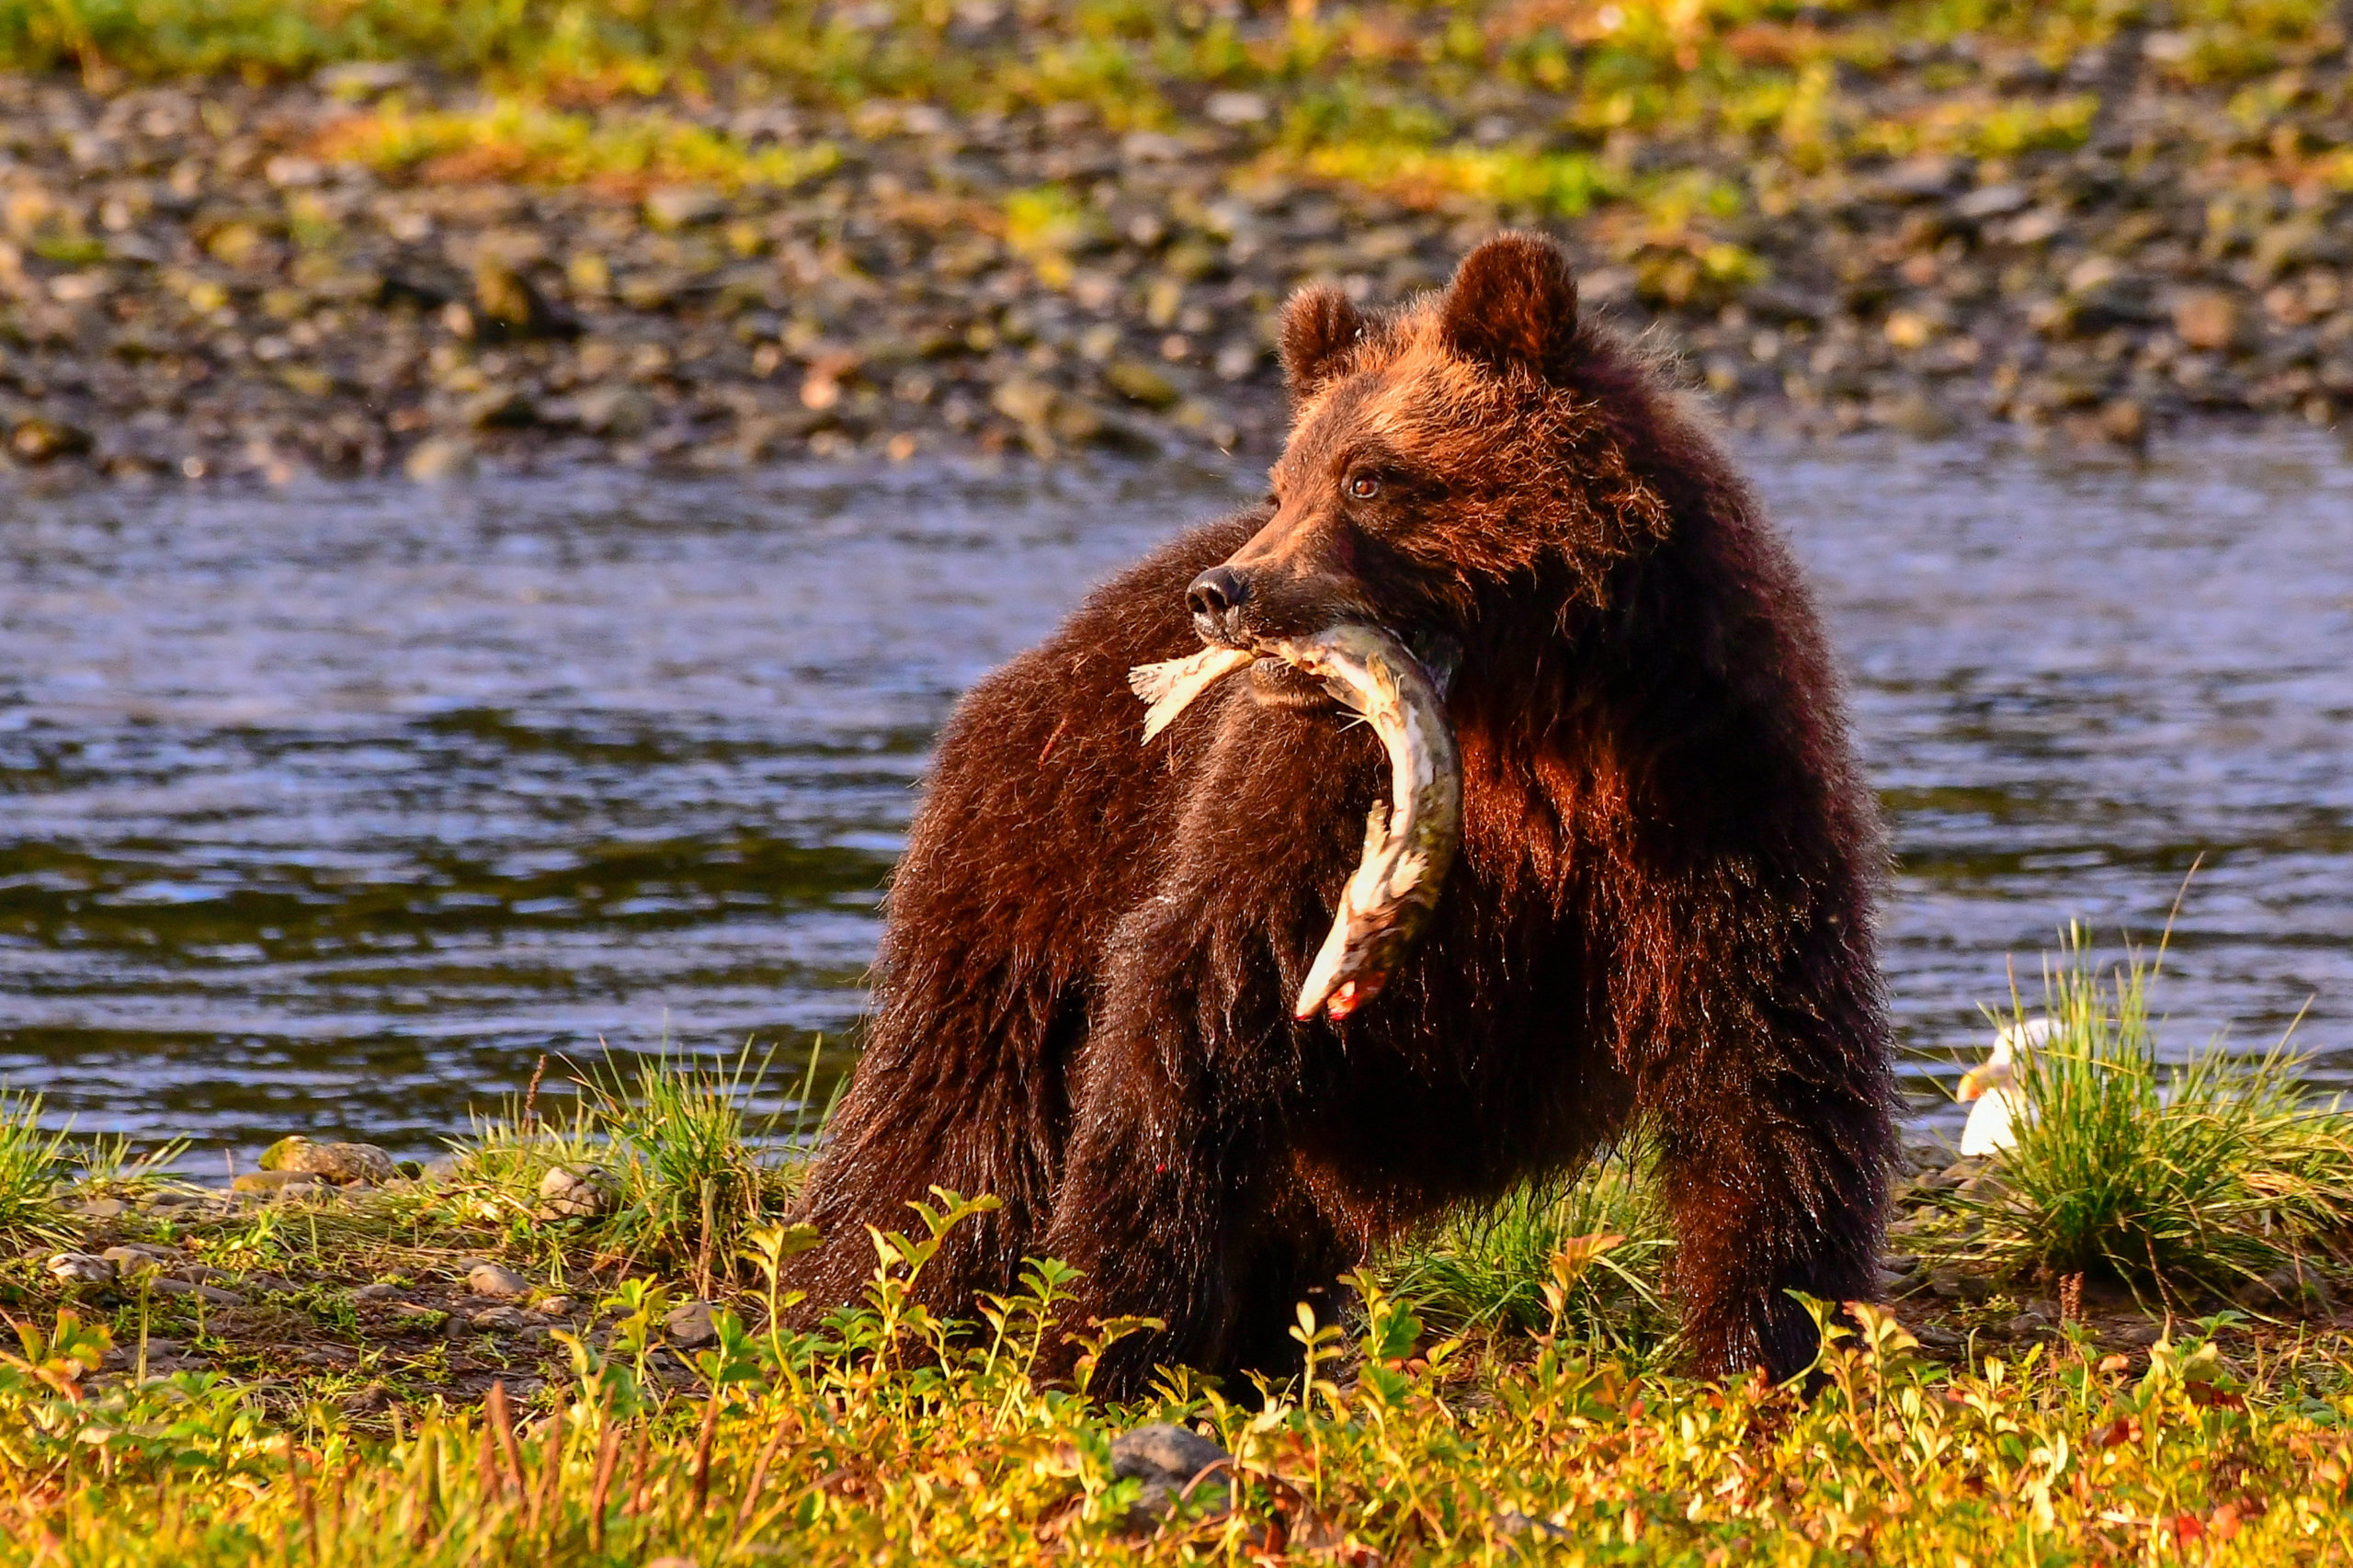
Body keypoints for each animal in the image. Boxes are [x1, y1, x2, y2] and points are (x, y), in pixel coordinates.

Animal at [783, 232, 1895, 1396]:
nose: (1222, 593)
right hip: (1037, 861)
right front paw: (1106, 1336)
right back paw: (850, 1315)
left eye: (1369, 475)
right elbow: (1193, 1009)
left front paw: (1770, 1343)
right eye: (1284, 478)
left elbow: (1767, 1072)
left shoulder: (1713, 792)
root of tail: (1021, 673)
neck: (1535, 719)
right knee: (950, 1132)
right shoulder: (1302, 804)